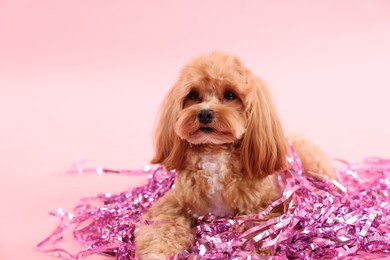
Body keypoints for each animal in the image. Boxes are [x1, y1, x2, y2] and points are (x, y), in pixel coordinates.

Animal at [134, 51, 336, 258]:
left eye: (230, 95)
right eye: (193, 95)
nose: (205, 113)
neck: (215, 154)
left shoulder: (266, 205)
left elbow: (258, 229)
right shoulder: (173, 203)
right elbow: (161, 228)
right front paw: (157, 252)